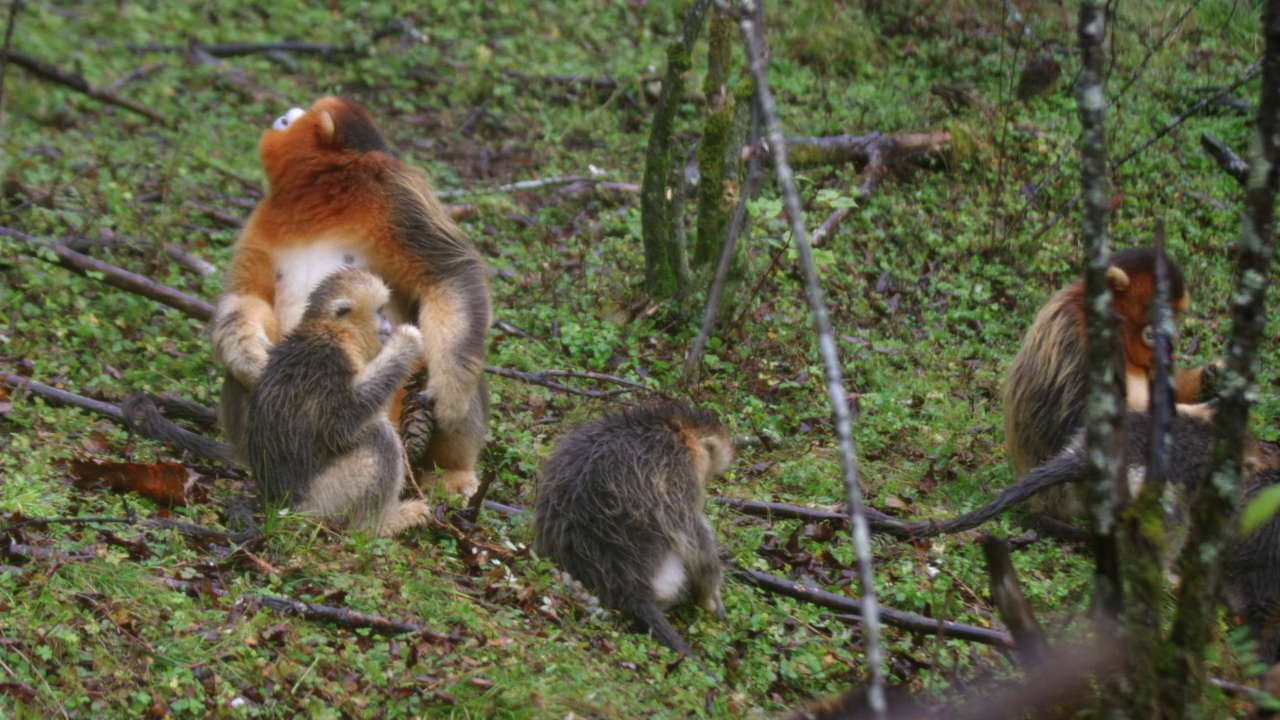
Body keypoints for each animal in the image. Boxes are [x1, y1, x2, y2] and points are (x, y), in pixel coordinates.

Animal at [212, 96, 491, 499]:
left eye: (290, 121)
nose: (282, 114)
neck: (319, 196)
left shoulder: (396, 196)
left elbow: (449, 277)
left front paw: (450, 392)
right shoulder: (262, 220)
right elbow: (248, 294)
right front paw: (246, 350)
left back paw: (451, 471)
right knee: (242, 380)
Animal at [244, 266, 430, 535]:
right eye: (379, 310)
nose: (387, 323)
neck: (334, 331)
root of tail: (281, 504)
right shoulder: (330, 360)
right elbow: (340, 423)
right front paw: (407, 340)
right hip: (322, 502)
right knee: (379, 437)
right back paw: (378, 525)